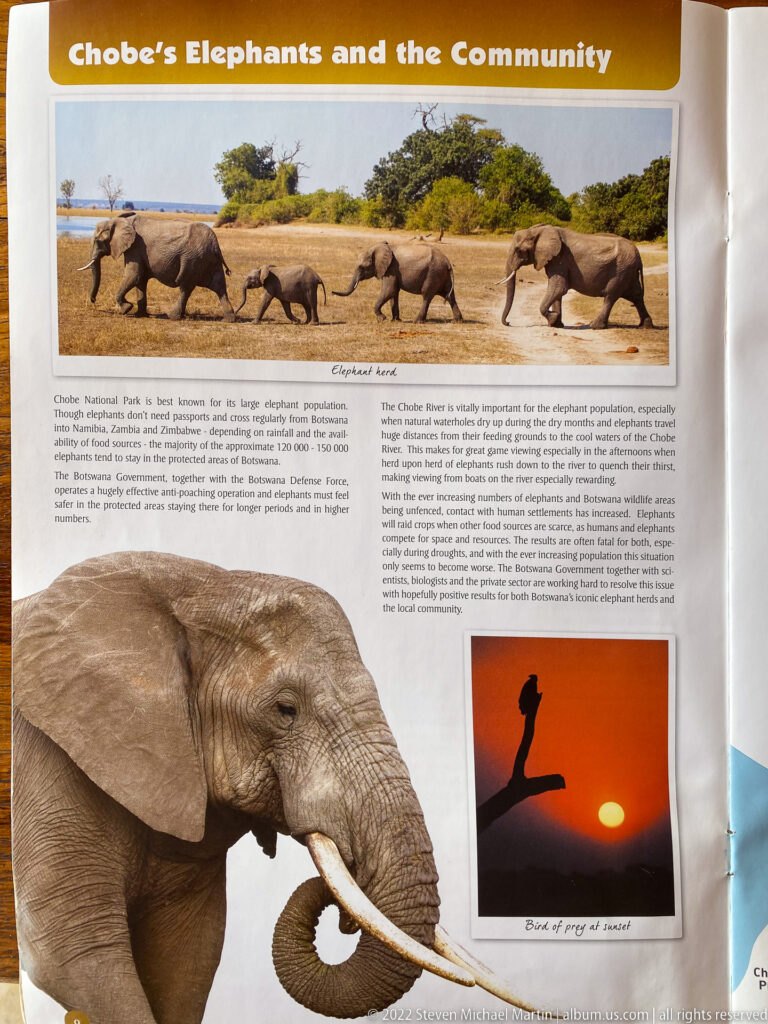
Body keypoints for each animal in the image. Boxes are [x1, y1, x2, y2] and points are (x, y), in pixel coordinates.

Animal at [12, 552, 530, 1024]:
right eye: (285, 710)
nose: (344, 915)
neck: (197, 589)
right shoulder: (49, 764)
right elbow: (73, 954)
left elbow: (185, 962)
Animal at [78, 213, 236, 321]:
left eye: (97, 240)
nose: (93, 300)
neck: (118, 221)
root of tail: (215, 244)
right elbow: (140, 280)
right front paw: (139, 315)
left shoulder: (135, 248)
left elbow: (133, 275)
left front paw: (126, 309)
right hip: (208, 260)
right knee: (219, 286)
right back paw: (228, 319)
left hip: (193, 259)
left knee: (185, 286)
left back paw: (172, 316)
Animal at [333, 242, 463, 323]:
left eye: (361, 267)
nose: (332, 292)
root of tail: (448, 262)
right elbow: (394, 293)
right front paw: (394, 320)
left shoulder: (392, 269)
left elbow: (389, 291)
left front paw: (382, 318)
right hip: (443, 276)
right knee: (450, 296)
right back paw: (457, 321)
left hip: (433, 274)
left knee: (426, 296)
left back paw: (417, 321)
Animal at [498, 224, 654, 330]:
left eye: (518, 251)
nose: (508, 323)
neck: (538, 230)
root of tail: (638, 255)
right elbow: (557, 291)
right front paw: (556, 324)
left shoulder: (560, 258)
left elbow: (559, 288)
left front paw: (553, 318)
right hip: (628, 271)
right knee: (636, 296)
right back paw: (645, 326)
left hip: (621, 270)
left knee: (610, 296)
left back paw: (594, 326)